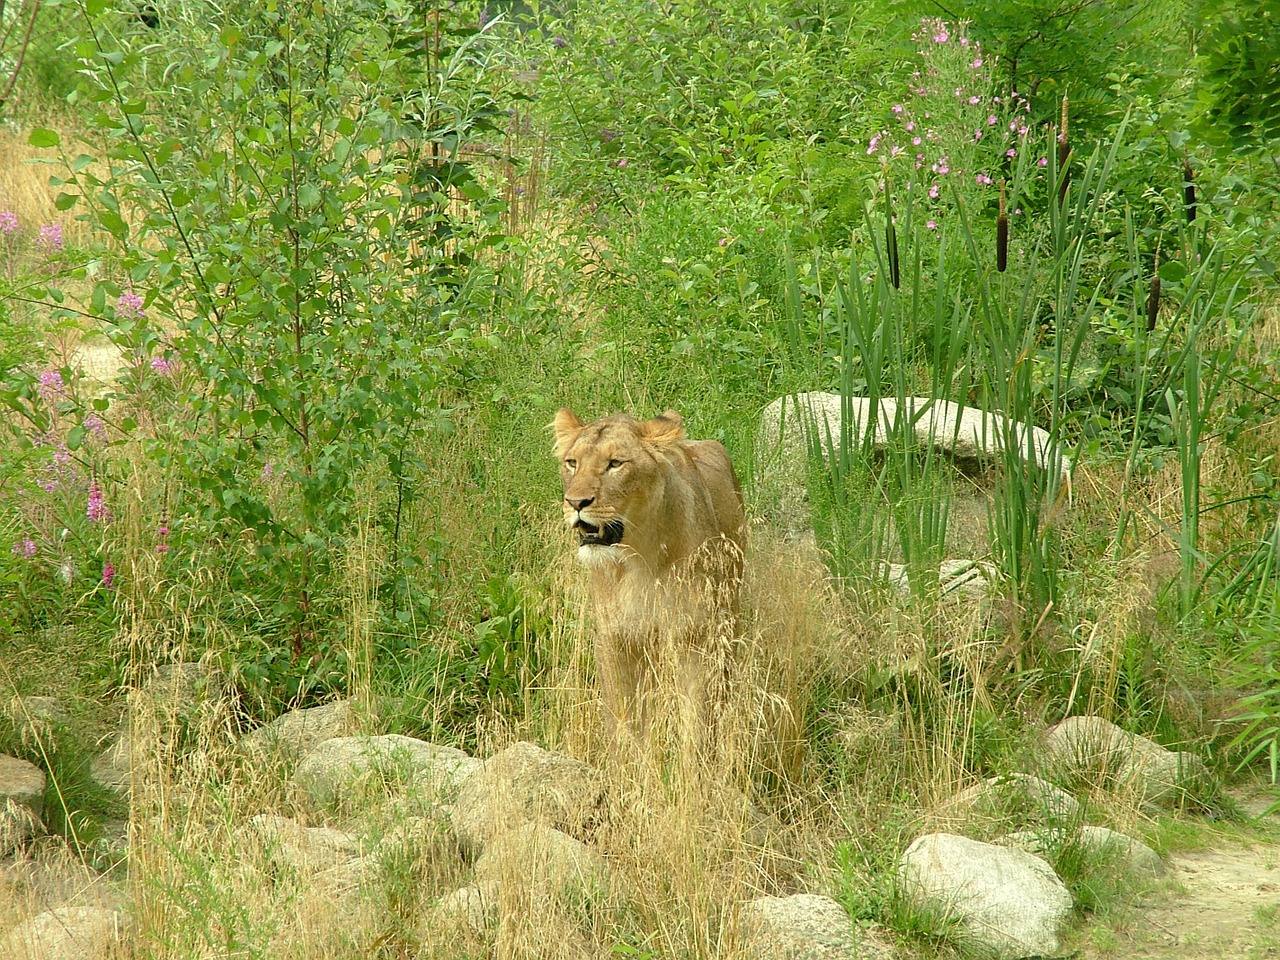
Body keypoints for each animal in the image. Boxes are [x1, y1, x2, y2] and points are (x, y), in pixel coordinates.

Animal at [552, 409, 747, 742]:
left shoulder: (694, 638)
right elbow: (623, 722)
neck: (639, 559)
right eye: (572, 463)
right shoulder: (614, 639)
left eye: (615, 463)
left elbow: (696, 723)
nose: (575, 503)